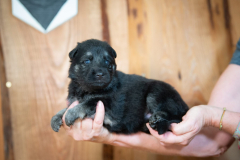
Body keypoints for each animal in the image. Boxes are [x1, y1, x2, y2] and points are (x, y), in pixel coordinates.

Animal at [51, 39, 189, 134]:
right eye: (87, 61)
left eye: (107, 61)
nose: (100, 74)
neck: (87, 90)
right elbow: (66, 108)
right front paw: (56, 118)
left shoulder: (109, 105)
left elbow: (87, 104)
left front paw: (71, 113)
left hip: (156, 92)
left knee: (176, 115)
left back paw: (158, 117)